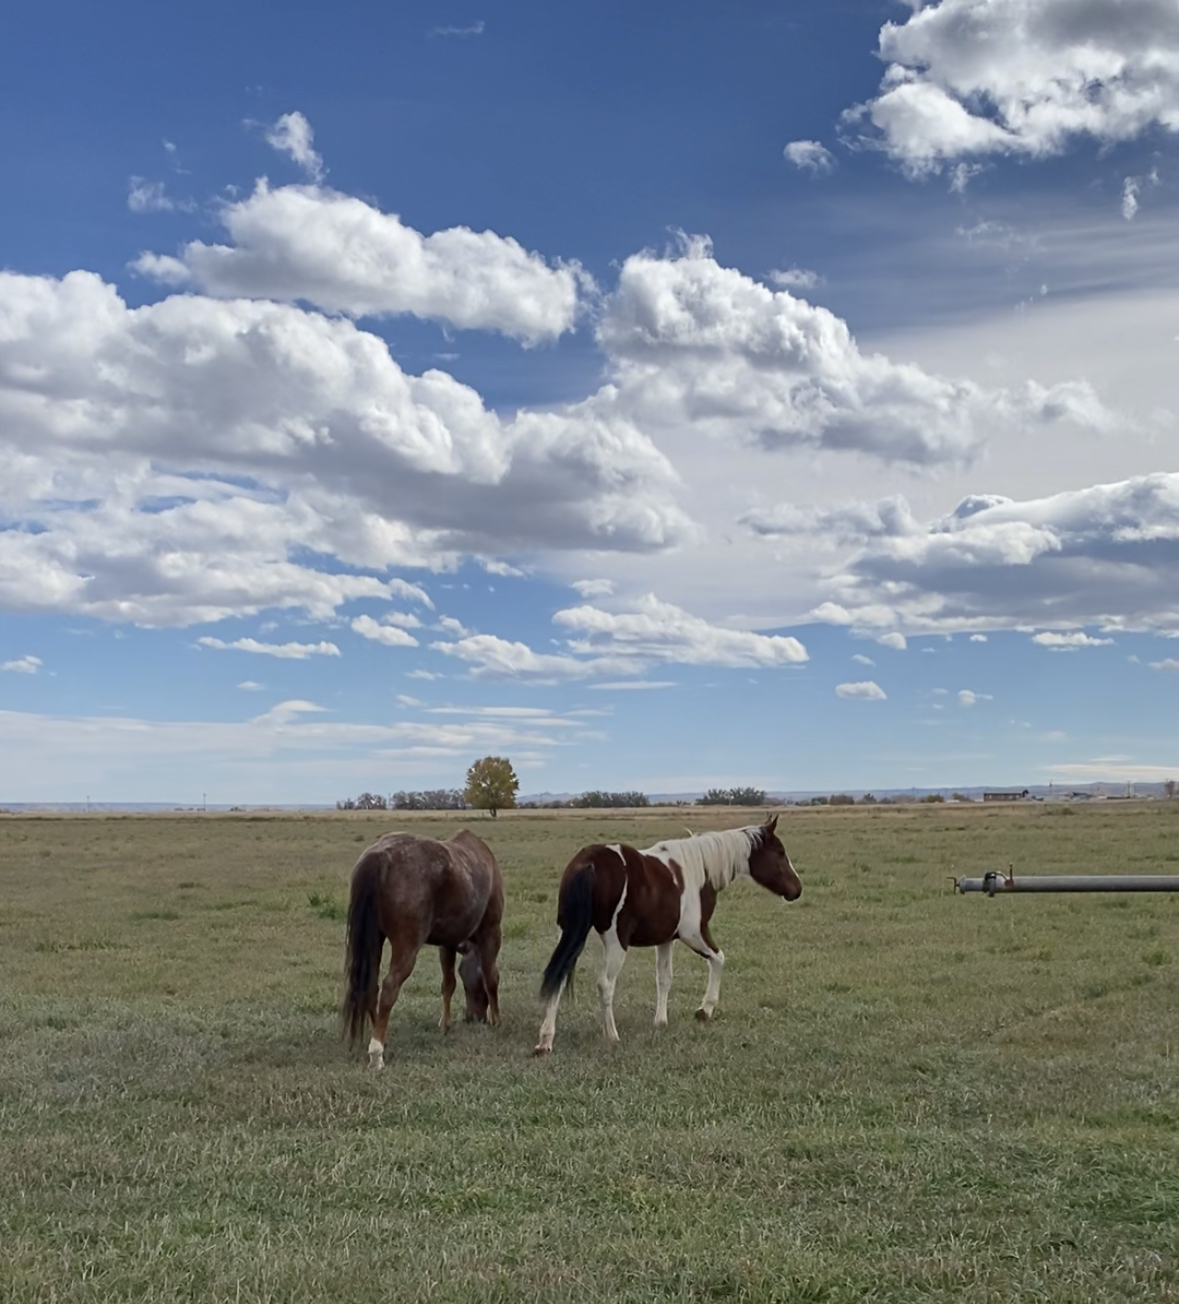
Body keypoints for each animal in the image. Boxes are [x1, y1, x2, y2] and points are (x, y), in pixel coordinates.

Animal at [344, 834, 503, 1069]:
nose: (474, 1017)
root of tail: (379, 856)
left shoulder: (448, 943)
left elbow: (448, 984)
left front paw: (445, 1024)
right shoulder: (491, 933)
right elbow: (492, 978)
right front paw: (497, 1020)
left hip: (374, 940)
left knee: (372, 987)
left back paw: (380, 1035)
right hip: (407, 947)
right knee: (389, 987)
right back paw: (376, 1052)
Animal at [534, 818, 803, 1053]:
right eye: (780, 852)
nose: (797, 890)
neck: (699, 869)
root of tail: (588, 864)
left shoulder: (664, 939)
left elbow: (664, 978)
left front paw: (660, 1021)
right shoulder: (693, 932)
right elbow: (719, 959)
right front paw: (704, 1010)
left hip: (569, 934)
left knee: (558, 977)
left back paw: (545, 1040)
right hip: (616, 943)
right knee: (605, 984)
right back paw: (611, 1035)